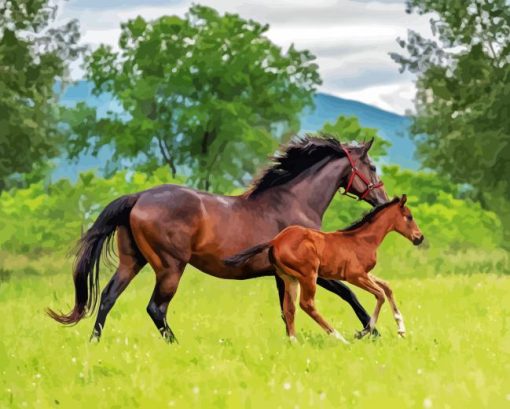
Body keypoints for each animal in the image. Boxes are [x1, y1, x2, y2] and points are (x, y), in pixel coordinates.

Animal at [50, 135, 386, 342]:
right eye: (371, 166)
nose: (382, 201)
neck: (295, 202)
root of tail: (139, 198)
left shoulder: (282, 276)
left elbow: (286, 311)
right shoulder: (311, 271)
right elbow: (350, 294)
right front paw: (372, 333)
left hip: (132, 262)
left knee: (108, 297)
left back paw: (94, 342)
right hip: (170, 267)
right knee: (156, 308)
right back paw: (176, 344)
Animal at [225, 194, 424, 342]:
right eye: (409, 217)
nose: (419, 238)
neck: (362, 240)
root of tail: (275, 240)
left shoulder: (365, 273)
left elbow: (387, 287)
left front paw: (401, 329)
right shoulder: (355, 275)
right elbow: (380, 294)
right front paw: (363, 332)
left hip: (290, 278)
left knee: (289, 308)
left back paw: (294, 342)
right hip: (308, 276)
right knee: (307, 304)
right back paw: (338, 338)